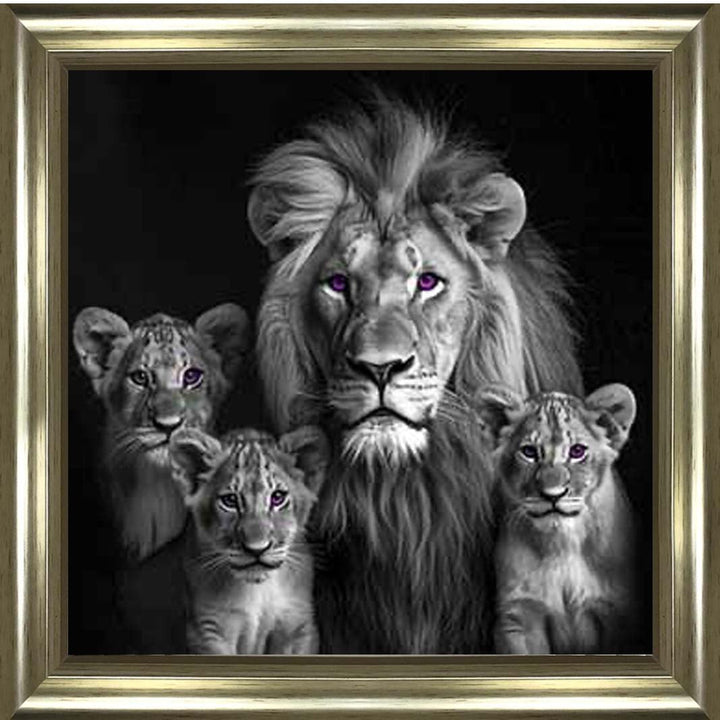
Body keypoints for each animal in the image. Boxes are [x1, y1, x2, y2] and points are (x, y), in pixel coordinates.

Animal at [169, 426, 327, 654]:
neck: (257, 590)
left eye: (277, 497)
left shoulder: (298, 627)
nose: (257, 549)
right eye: (230, 500)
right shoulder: (208, 631)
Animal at [475, 383, 637, 654]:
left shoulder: (618, 614)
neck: (562, 543)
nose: (553, 494)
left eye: (577, 451)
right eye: (529, 452)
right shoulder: (519, 616)